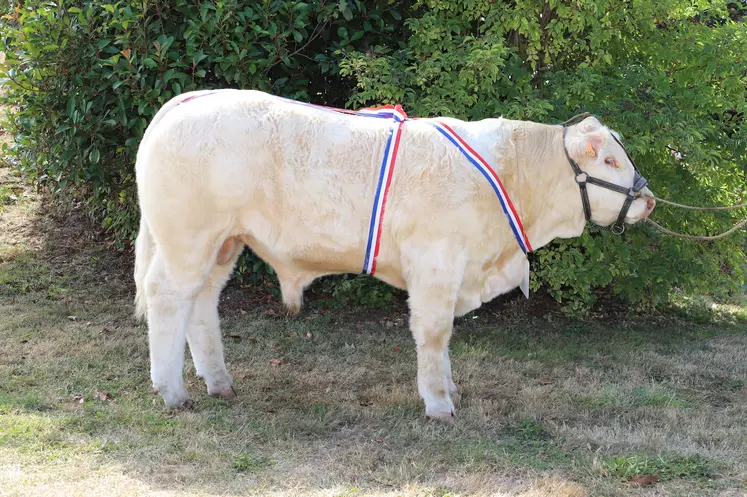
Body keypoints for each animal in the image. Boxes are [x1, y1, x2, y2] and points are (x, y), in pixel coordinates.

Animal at [133, 88, 656, 418]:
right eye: (609, 160)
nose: (648, 200)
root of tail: (192, 100)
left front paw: (449, 387)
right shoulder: (436, 262)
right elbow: (434, 332)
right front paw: (439, 403)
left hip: (223, 242)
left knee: (202, 303)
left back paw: (218, 381)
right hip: (189, 238)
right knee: (167, 299)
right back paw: (172, 391)